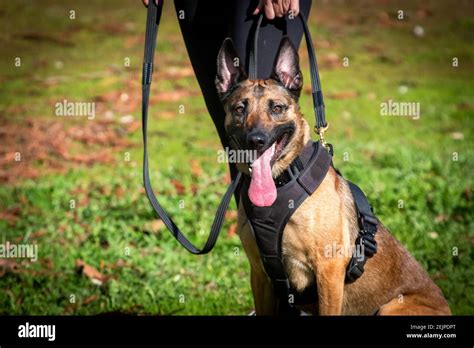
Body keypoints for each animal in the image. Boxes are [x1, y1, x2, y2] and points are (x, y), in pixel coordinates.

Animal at [216, 37, 452, 316]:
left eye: (277, 108)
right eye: (240, 109)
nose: (256, 140)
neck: (283, 181)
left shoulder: (328, 272)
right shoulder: (260, 275)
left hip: (391, 307)